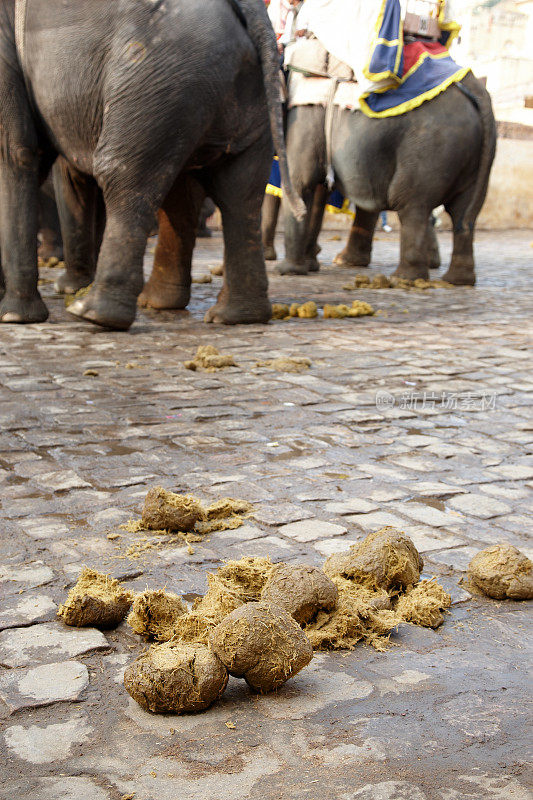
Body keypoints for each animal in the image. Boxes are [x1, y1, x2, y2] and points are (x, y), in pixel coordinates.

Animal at [0, 0, 302, 328]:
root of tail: (252, 8)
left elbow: (16, 154)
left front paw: (13, 316)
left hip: (157, 79)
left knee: (124, 178)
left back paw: (92, 313)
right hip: (228, 92)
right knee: (233, 195)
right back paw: (231, 316)